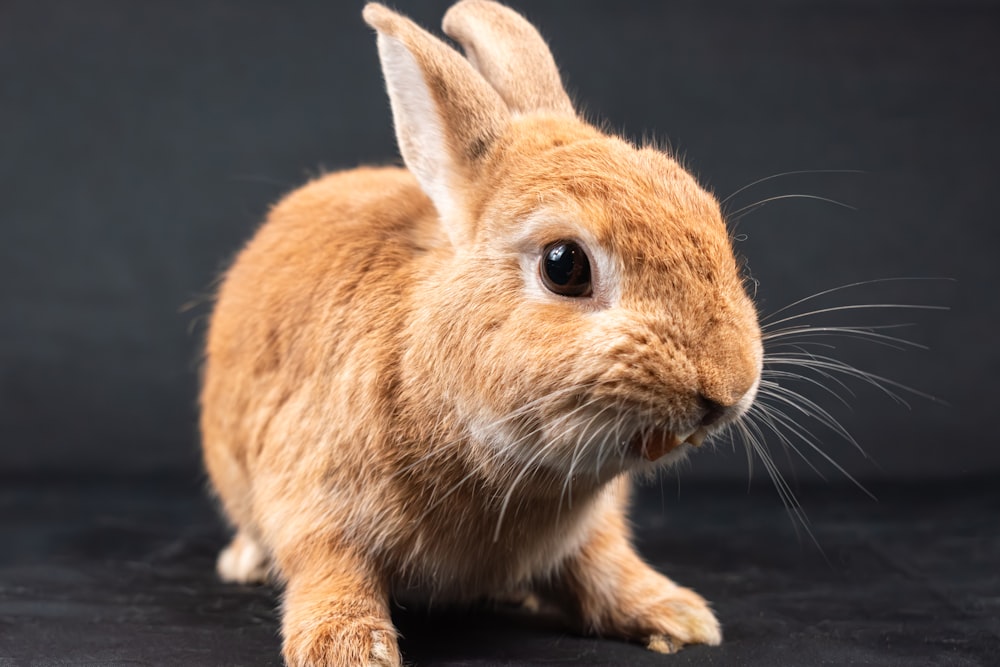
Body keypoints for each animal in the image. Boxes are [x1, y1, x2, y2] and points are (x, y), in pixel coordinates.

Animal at [201, 2, 764, 664]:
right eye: (564, 265)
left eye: (708, 213)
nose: (729, 387)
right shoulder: (313, 495)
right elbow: (331, 568)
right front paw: (348, 648)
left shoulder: (589, 533)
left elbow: (602, 566)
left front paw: (677, 616)